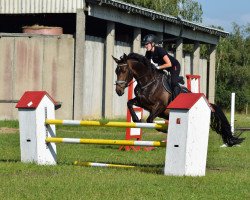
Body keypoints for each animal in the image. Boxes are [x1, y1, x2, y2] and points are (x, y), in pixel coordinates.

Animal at [113, 53, 244, 147]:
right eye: (116, 71)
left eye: (123, 71)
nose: (118, 91)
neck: (148, 81)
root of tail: (209, 104)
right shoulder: (142, 103)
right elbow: (129, 103)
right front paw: (136, 119)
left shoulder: (159, 106)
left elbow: (150, 120)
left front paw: (163, 130)